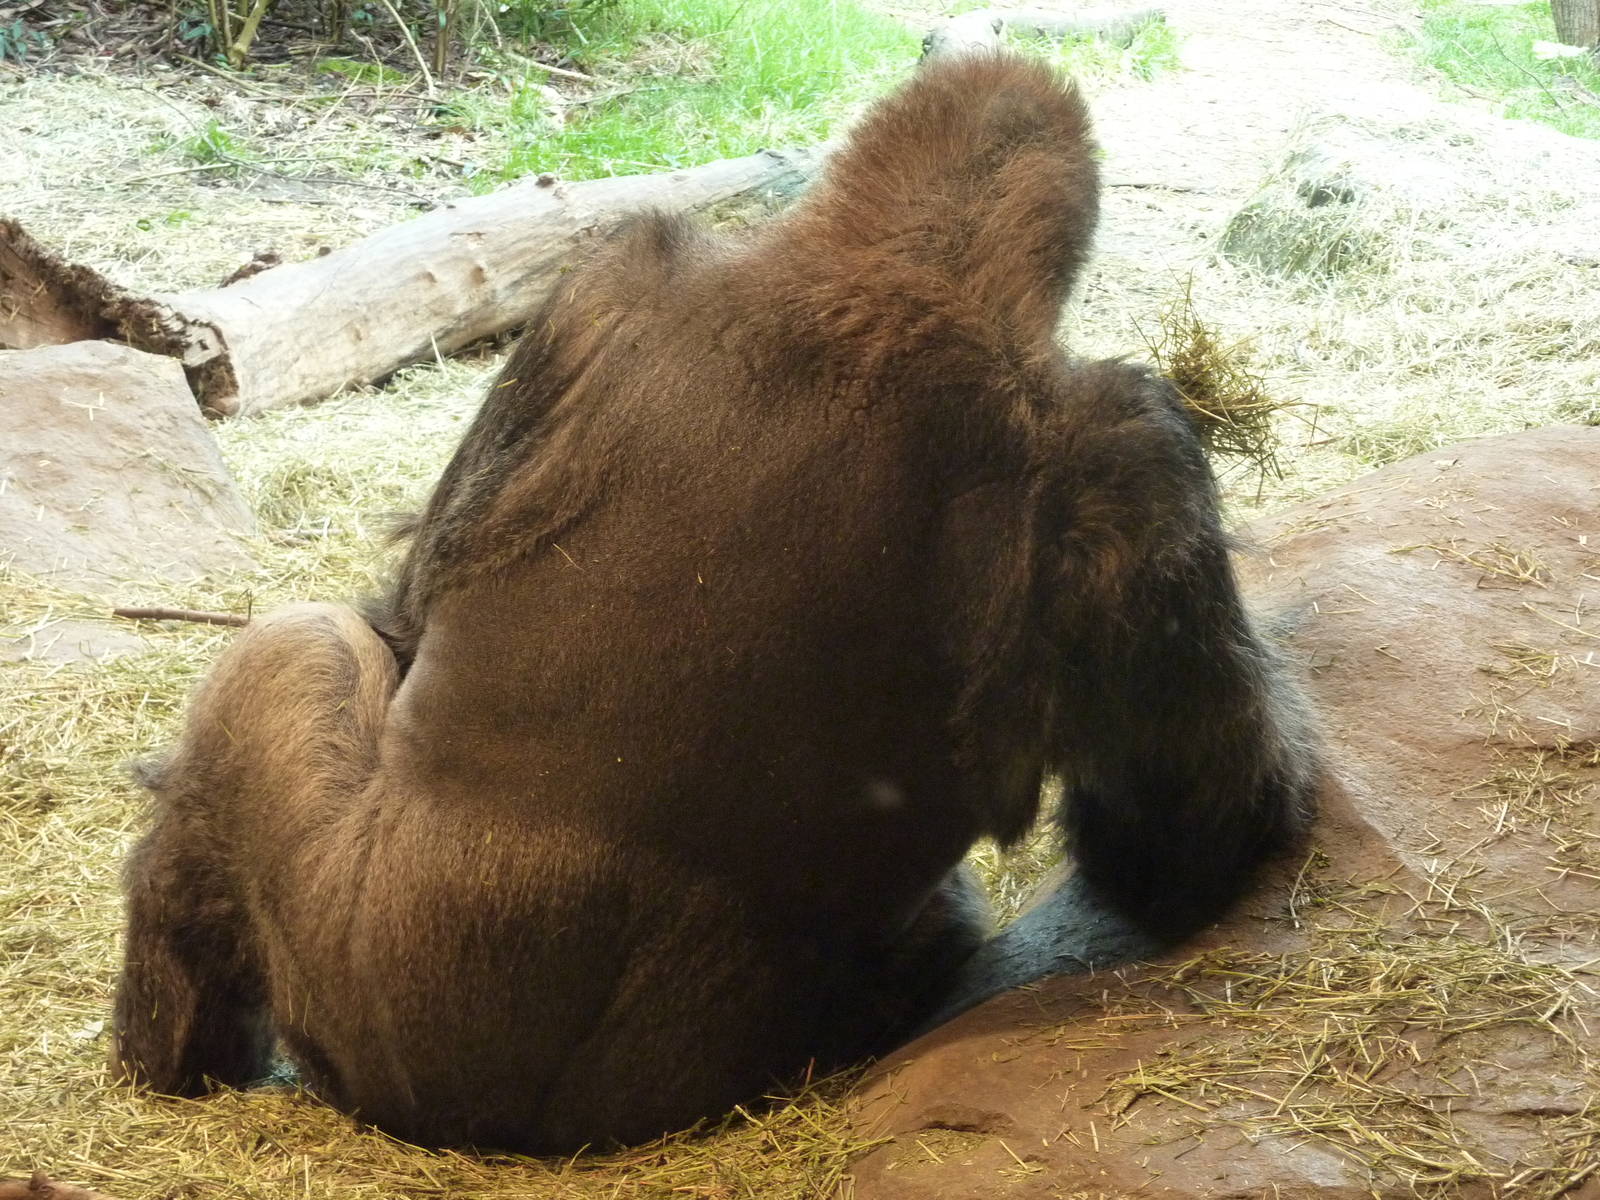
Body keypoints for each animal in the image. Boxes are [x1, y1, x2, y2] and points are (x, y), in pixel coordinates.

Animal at [111, 51, 1319, 1155]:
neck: (885, 286)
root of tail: (496, 1134)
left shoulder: (1128, 445)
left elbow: (1195, 842)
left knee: (287, 647)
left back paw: (164, 1059)